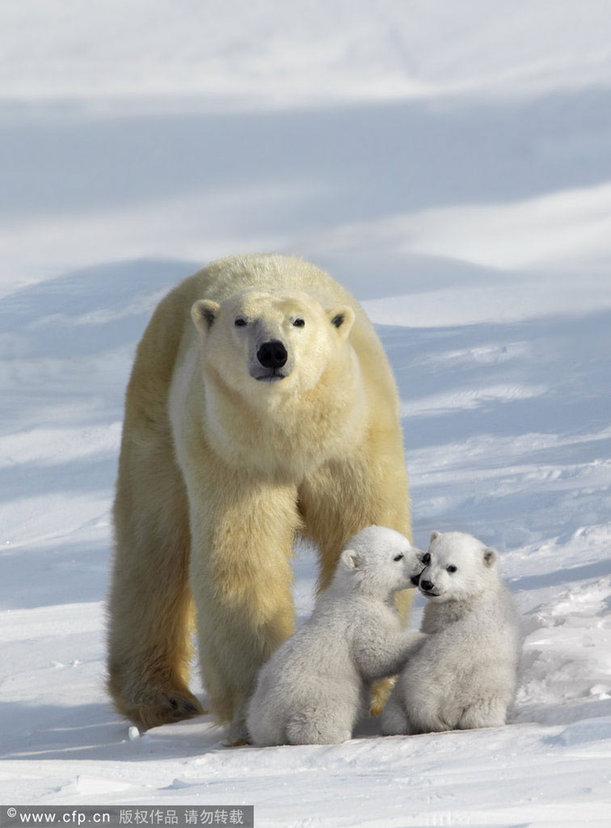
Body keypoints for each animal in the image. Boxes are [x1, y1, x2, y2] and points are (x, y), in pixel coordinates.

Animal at [108, 252, 414, 736]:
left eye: (298, 321)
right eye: (241, 320)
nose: (272, 351)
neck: (290, 437)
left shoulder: (353, 445)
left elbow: (364, 524)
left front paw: (377, 695)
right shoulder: (235, 461)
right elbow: (243, 559)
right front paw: (255, 700)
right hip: (157, 417)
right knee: (155, 545)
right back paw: (162, 698)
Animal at [246, 528, 428, 748]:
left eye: (407, 544)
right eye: (398, 556)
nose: (426, 557)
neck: (359, 591)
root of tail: (266, 721)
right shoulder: (361, 620)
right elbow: (376, 655)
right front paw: (422, 637)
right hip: (320, 692)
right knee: (321, 716)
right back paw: (336, 733)